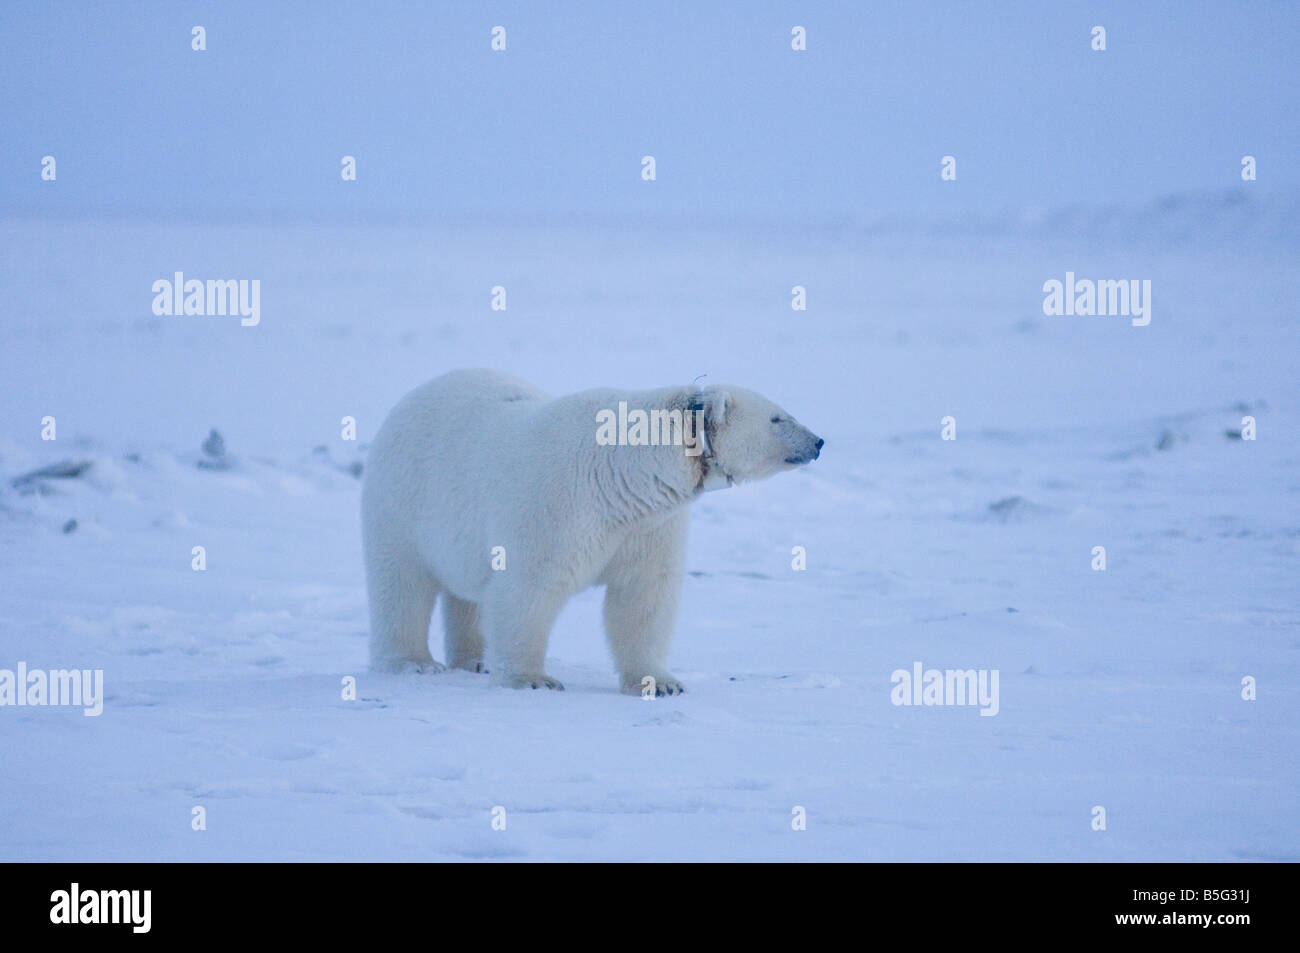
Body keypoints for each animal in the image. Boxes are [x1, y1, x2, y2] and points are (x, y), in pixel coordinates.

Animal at [361, 369, 816, 691]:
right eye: (777, 417)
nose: (818, 442)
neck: (620, 474)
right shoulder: (555, 507)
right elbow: (528, 590)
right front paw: (532, 678)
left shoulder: (650, 525)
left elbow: (644, 595)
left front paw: (660, 683)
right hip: (403, 499)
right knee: (402, 584)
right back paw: (414, 662)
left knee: (466, 594)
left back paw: (475, 660)